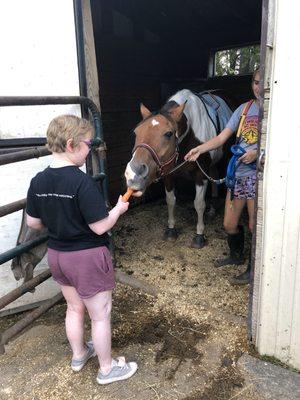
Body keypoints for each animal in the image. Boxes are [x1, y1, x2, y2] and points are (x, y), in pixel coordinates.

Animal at [124, 89, 232, 248]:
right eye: (136, 132)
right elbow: (170, 200)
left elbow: (199, 204)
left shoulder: (200, 175)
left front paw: (199, 235)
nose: (133, 174)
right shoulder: (168, 173)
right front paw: (171, 230)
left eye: (169, 133)